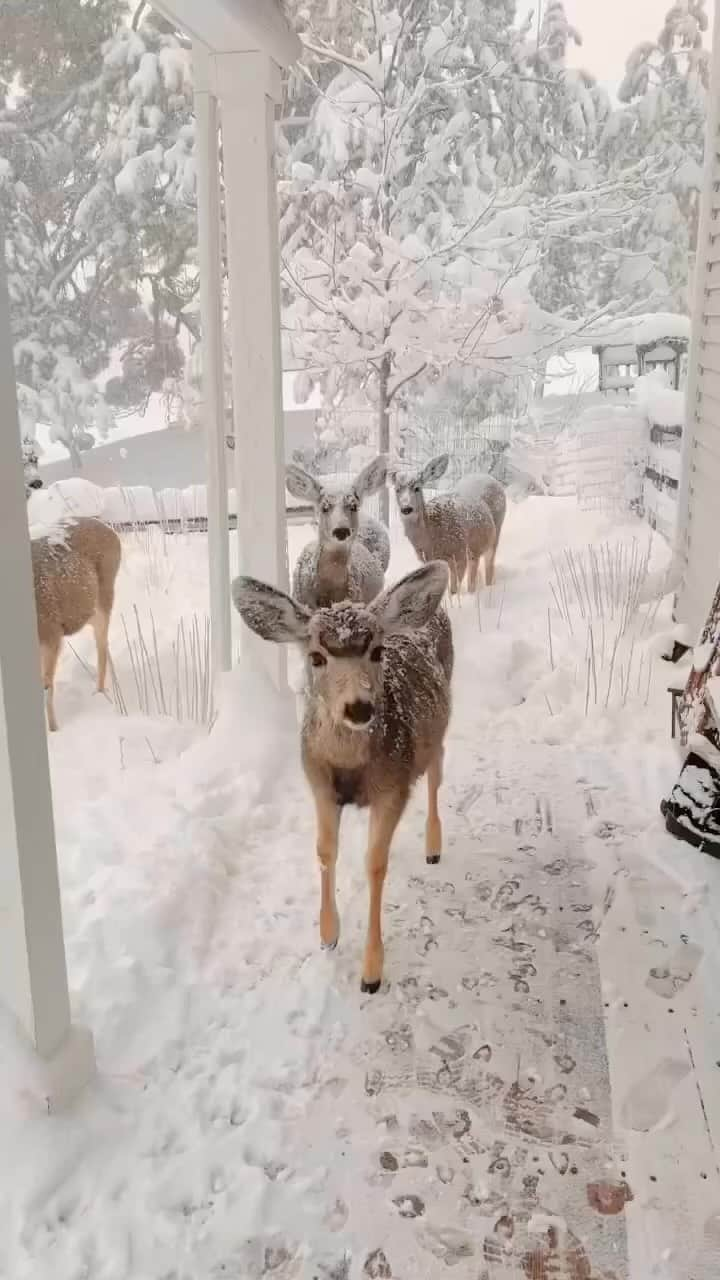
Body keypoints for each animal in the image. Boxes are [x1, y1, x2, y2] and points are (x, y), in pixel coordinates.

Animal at [30, 512, 122, 732]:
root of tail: (111, 531)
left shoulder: (51, 631)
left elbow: (46, 687)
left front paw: (53, 730)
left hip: (105, 596)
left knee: (101, 646)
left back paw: (100, 693)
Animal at [233, 560, 450, 988]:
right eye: (316, 657)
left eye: (378, 651)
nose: (359, 707)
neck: (351, 768)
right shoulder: (317, 781)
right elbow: (324, 850)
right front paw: (328, 935)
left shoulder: (393, 785)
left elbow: (375, 863)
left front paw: (371, 971)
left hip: (437, 729)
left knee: (436, 772)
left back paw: (433, 847)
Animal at [389, 455, 497, 593]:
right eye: (397, 489)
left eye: (417, 488)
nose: (406, 509)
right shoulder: (428, 560)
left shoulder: (459, 554)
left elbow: (454, 589)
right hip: (474, 550)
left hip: (492, 537)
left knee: (488, 565)